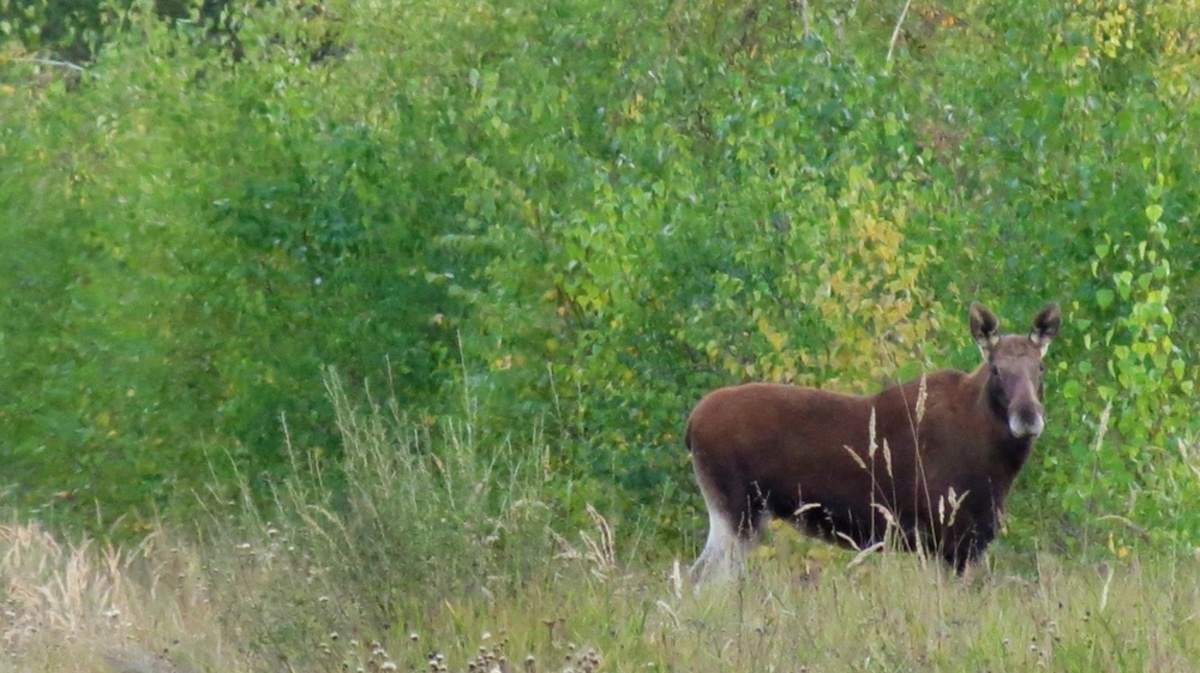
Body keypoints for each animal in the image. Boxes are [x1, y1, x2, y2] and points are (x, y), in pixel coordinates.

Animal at [686, 299, 1060, 578]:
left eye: (1040, 368)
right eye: (996, 369)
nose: (1028, 416)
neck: (997, 464)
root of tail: (690, 426)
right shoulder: (947, 537)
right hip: (737, 512)